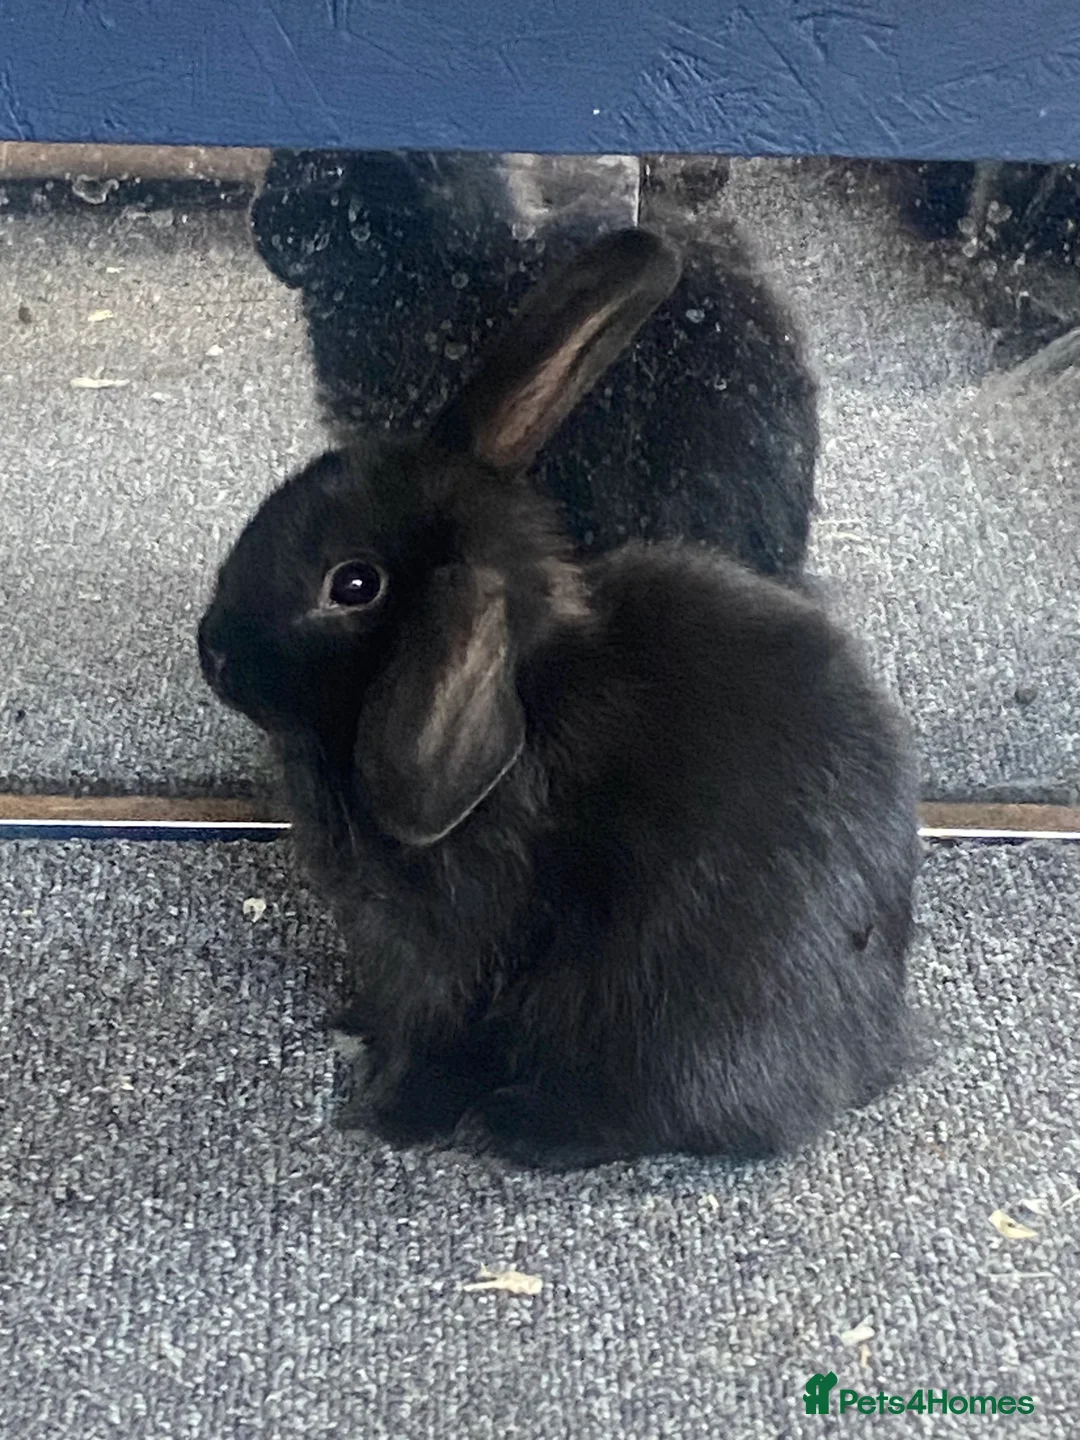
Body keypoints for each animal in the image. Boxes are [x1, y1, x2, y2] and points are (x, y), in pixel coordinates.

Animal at [199, 229, 920, 1170]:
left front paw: (386, 1116)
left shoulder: (445, 957)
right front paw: (352, 1029)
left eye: (353, 585)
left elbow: (434, 1039)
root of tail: (866, 1049)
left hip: (655, 1015)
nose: (213, 652)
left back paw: (520, 1126)